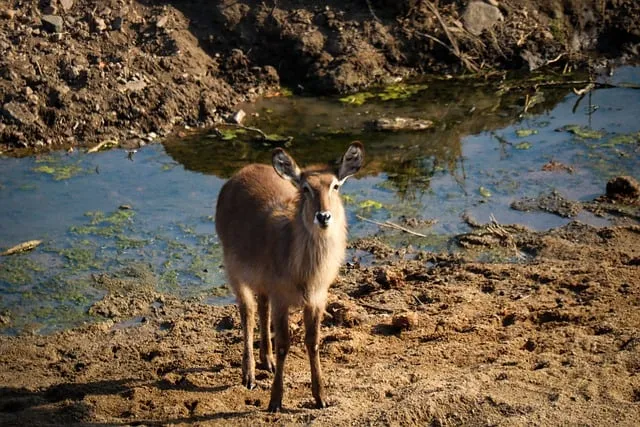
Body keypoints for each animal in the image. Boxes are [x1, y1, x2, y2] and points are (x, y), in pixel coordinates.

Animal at [215, 142, 364, 412]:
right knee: (248, 312)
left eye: (335, 186)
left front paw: (321, 397)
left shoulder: (316, 299)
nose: (323, 216)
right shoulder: (282, 299)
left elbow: (313, 342)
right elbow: (284, 344)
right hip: (235, 273)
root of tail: (243, 171)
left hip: (262, 283)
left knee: (262, 307)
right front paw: (275, 400)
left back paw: (267, 360)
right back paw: (249, 374)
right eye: (305, 188)